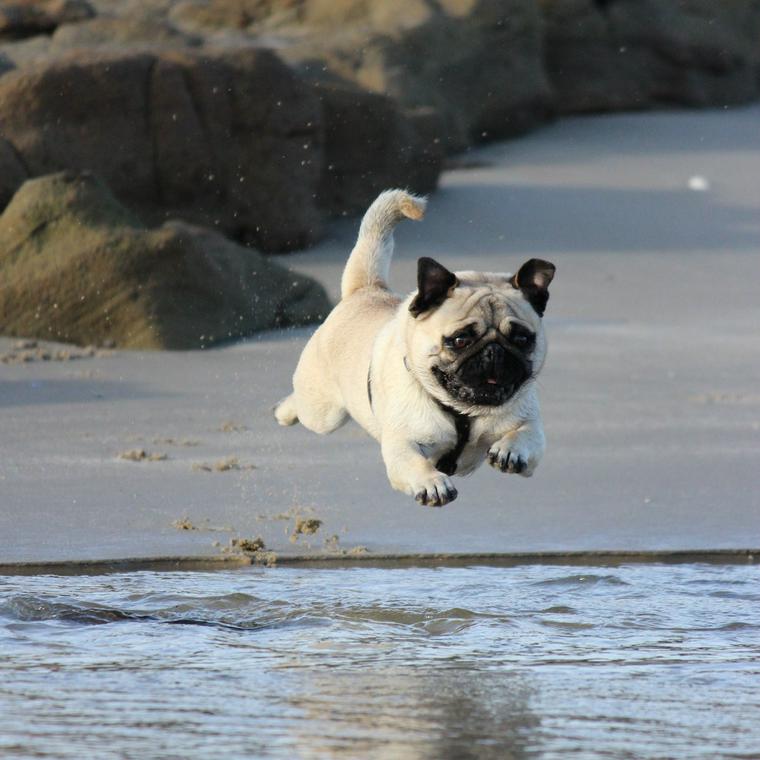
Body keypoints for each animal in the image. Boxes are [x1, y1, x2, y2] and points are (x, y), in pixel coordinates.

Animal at [276, 190, 556, 504]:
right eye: (460, 340)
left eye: (521, 339)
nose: (494, 351)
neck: (463, 413)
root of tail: (366, 289)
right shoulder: (402, 445)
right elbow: (414, 463)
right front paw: (432, 483)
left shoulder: (529, 425)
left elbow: (526, 434)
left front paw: (511, 451)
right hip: (324, 413)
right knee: (304, 407)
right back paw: (284, 411)